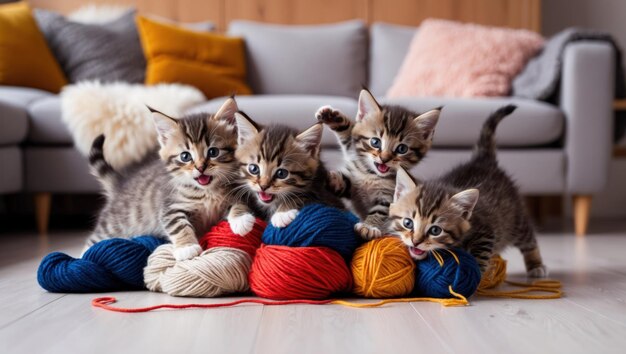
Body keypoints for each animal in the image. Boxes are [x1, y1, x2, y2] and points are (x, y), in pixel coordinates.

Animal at [86, 97, 243, 260]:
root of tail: (121, 183)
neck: (207, 191)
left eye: (213, 152)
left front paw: (242, 219)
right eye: (185, 156)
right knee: (94, 240)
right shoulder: (170, 206)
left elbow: (239, 202)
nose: (200, 168)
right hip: (115, 224)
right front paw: (187, 247)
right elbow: (178, 225)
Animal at [316, 89, 438, 241]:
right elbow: (349, 136)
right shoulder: (353, 180)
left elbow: (380, 211)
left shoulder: (389, 198)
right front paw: (332, 117)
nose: (384, 159)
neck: (372, 175)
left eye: (402, 149)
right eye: (375, 142)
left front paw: (368, 227)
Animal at [388, 104, 544, 276]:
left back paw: (536, 265)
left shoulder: (485, 231)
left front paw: (477, 276)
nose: (415, 242)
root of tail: (483, 161)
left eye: (435, 230)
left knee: (527, 237)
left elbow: (479, 257)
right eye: (408, 223)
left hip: (514, 219)